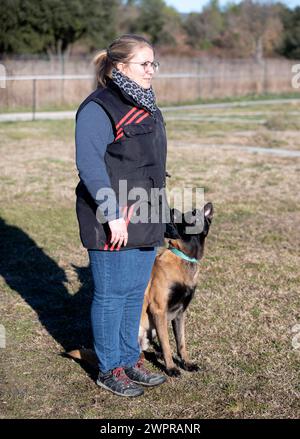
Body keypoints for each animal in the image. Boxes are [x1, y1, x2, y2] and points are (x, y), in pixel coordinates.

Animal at [68, 203, 213, 378]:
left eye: (194, 213)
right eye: (187, 215)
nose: (173, 211)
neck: (183, 256)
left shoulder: (180, 313)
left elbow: (181, 343)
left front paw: (187, 363)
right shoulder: (159, 310)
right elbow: (166, 344)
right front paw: (171, 368)